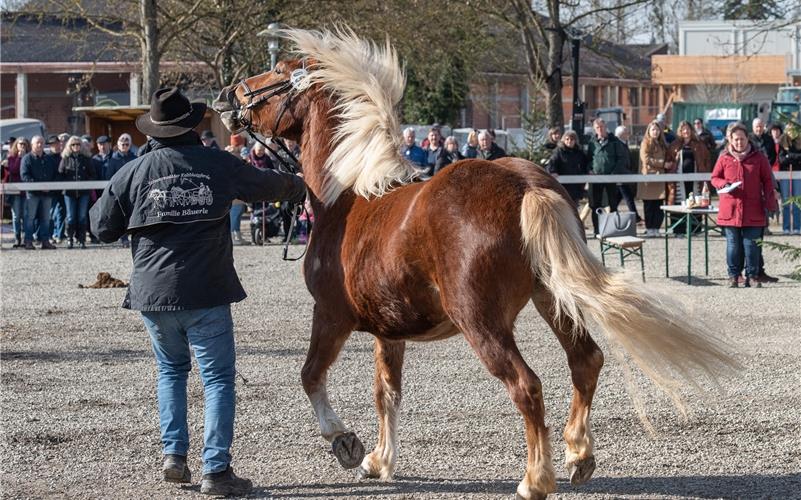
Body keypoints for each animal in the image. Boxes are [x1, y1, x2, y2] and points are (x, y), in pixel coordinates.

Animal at [214, 28, 736, 500]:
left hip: (480, 320)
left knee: (527, 384)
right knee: (585, 361)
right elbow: (386, 393)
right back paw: (578, 457)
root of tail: (524, 184)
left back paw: (535, 479)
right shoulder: (388, 332)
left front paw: (346, 443)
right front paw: (379, 461)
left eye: (278, 73)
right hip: (551, 298)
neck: (351, 193)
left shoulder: (331, 315)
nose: (227, 95)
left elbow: (310, 376)